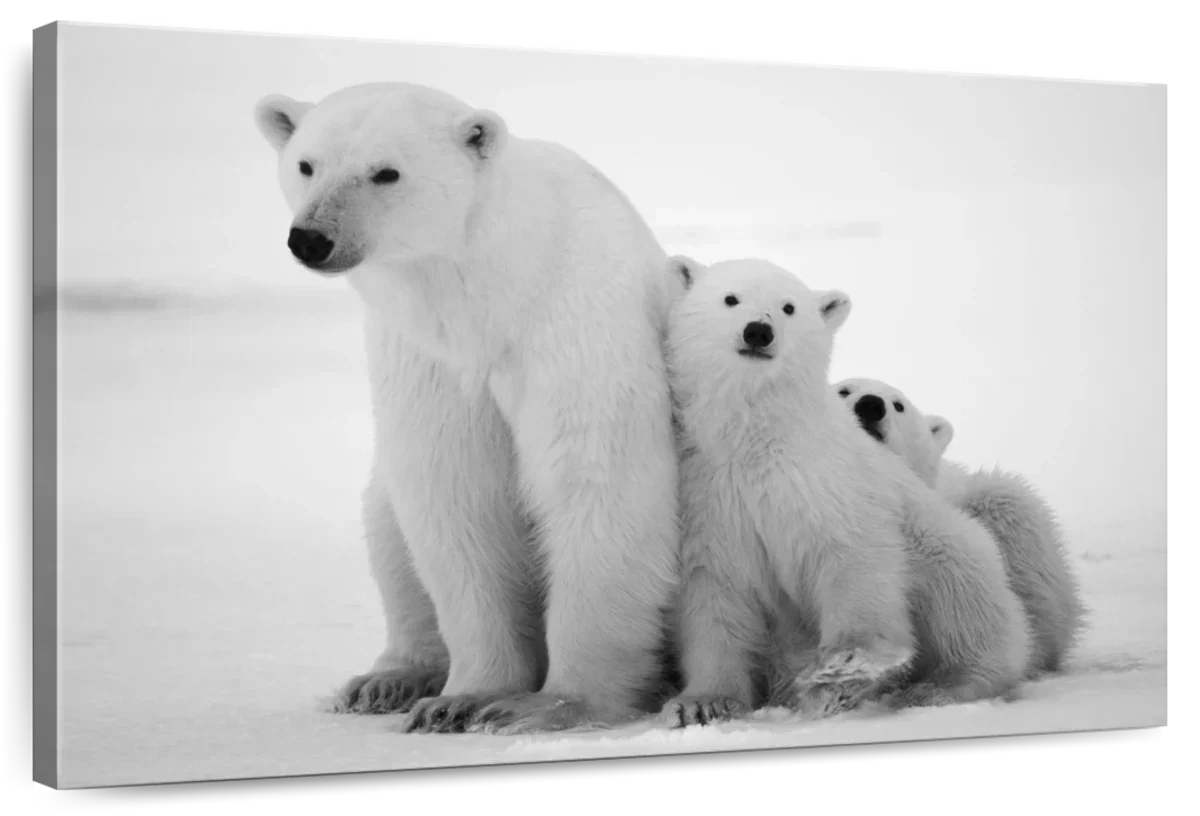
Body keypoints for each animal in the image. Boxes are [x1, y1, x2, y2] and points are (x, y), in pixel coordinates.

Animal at [253, 82, 682, 735]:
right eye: (307, 164)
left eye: (386, 172)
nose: (312, 238)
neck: (493, 294)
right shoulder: (430, 359)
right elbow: (453, 493)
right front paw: (462, 699)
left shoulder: (575, 327)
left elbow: (597, 482)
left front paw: (550, 705)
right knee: (386, 525)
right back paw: (388, 679)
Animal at [658, 255, 1034, 726]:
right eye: (730, 298)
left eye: (789, 307)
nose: (758, 331)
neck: (757, 440)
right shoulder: (710, 495)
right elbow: (715, 594)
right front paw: (702, 703)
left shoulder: (827, 480)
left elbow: (852, 556)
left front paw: (842, 670)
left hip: (947, 542)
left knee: (964, 600)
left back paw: (940, 685)